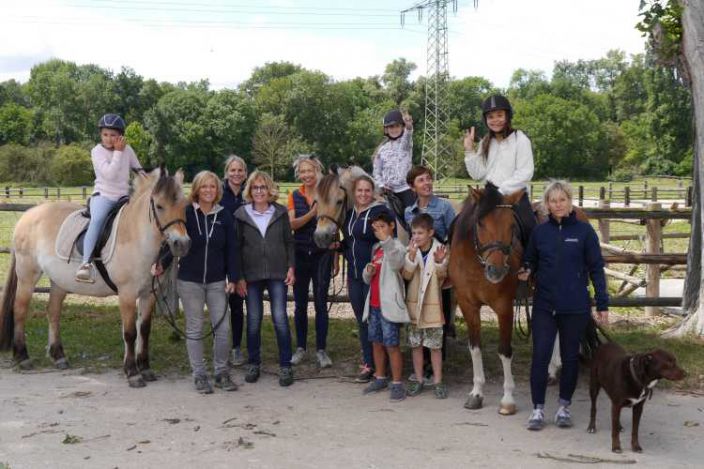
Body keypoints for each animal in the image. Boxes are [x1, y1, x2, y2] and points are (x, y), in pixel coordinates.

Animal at [0, 168, 190, 388]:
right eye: (159, 206)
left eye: (184, 206)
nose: (182, 244)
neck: (135, 235)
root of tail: (28, 215)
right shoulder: (126, 294)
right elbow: (130, 333)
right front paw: (132, 373)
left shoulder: (148, 294)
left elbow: (144, 329)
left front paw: (145, 368)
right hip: (27, 276)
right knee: (20, 310)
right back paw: (22, 357)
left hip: (58, 282)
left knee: (53, 312)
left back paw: (59, 357)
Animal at [448, 183, 524, 414]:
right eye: (480, 223)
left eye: (511, 224)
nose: (496, 271)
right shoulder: (468, 305)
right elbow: (475, 348)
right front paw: (476, 393)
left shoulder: (504, 307)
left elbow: (505, 351)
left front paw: (507, 399)